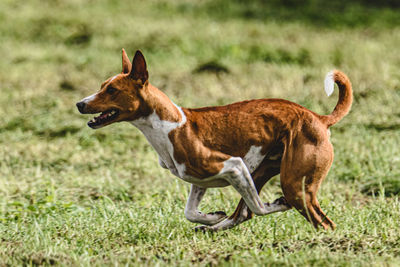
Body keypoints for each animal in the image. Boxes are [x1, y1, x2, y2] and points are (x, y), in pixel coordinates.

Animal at [76, 50, 352, 232]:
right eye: (102, 85)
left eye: (112, 90)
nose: (80, 104)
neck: (168, 126)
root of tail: (319, 117)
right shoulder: (199, 180)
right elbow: (190, 212)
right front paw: (210, 217)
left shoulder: (234, 165)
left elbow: (259, 207)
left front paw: (273, 205)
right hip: (263, 172)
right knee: (242, 214)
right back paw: (212, 228)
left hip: (294, 185)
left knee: (321, 222)